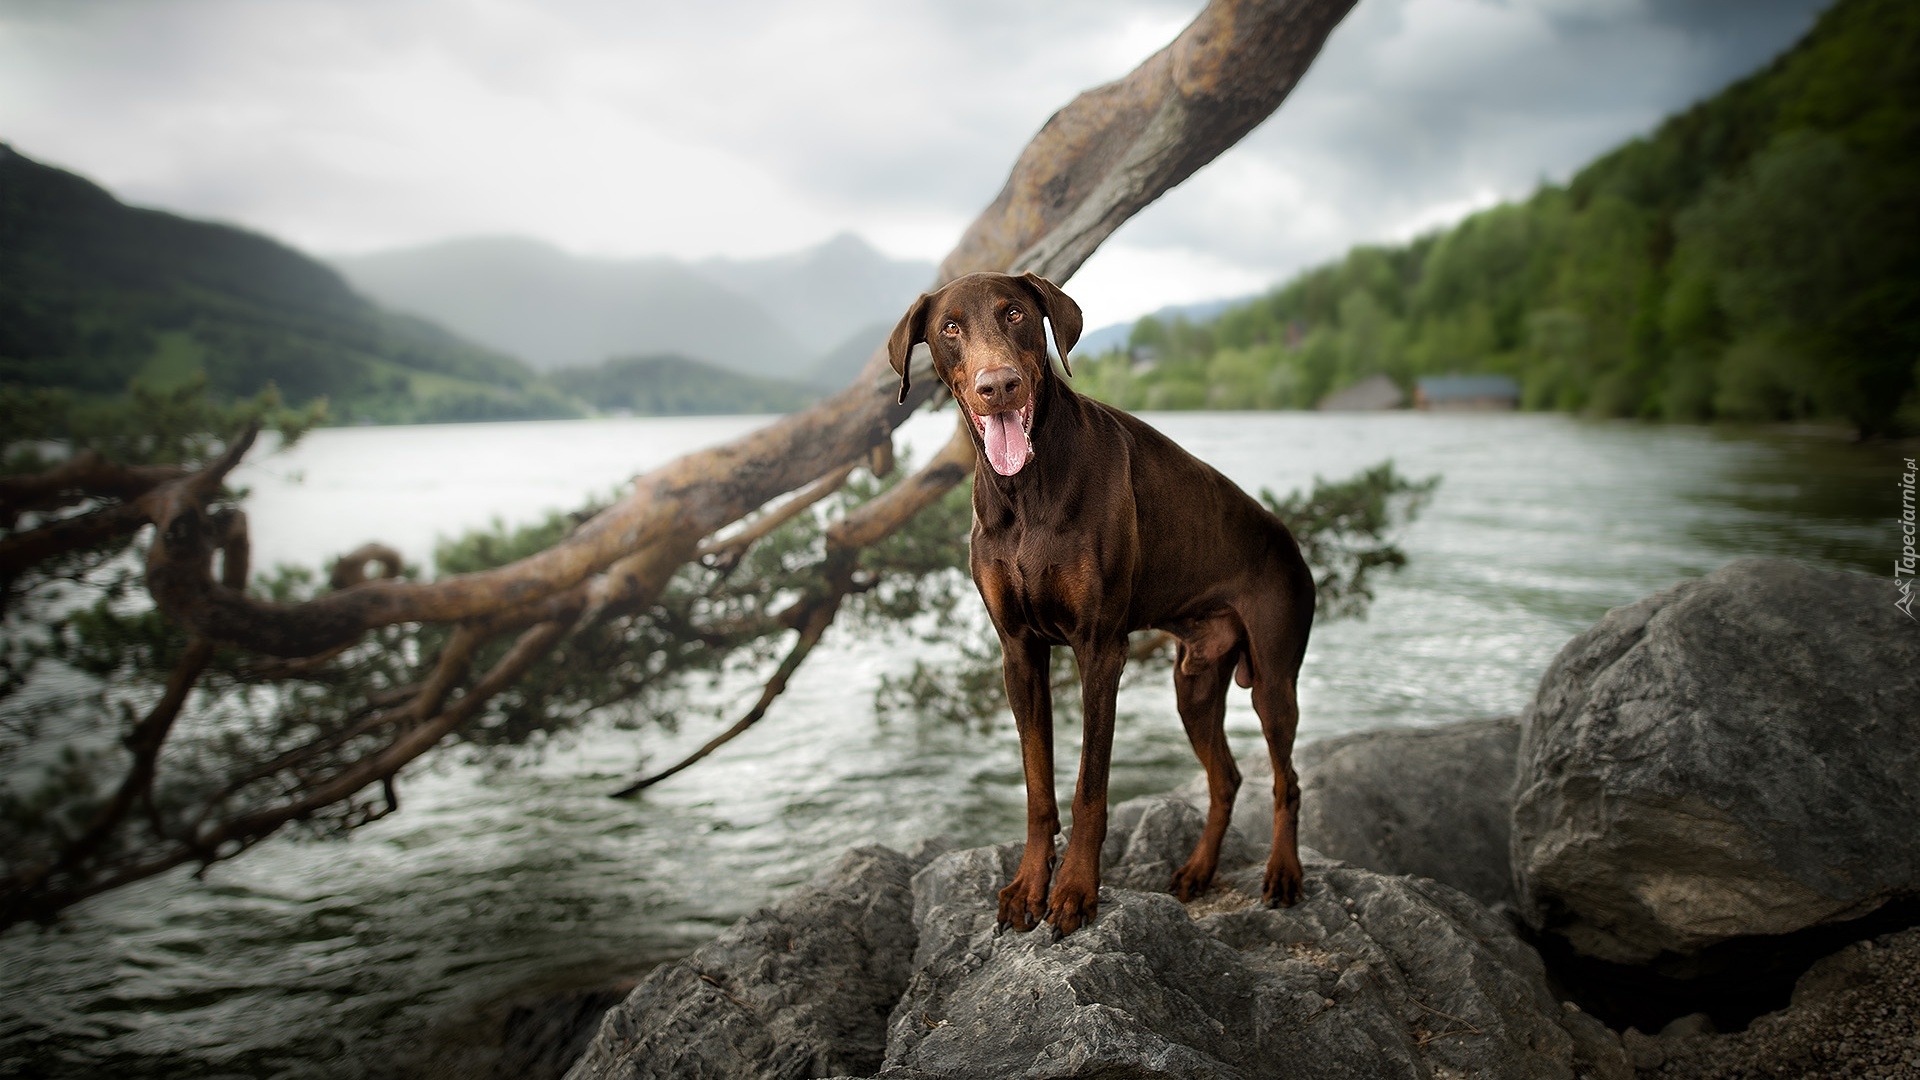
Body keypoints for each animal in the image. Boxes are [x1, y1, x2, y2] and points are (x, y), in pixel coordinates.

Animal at [887, 270, 1313, 933]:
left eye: (1015, 314)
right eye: (950, 328)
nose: (999, 386)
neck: (1026, 490)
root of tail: (1289, 540)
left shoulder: (1099, 649)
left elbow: (1091, 786)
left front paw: (1075, 890)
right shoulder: (1019, 653)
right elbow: (1039, 787)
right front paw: (1028, 886)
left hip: (1273, 677)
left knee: (1284, 779)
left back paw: (1284, 873)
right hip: (1194, 684)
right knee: (1226, 777)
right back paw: (1199, 870)